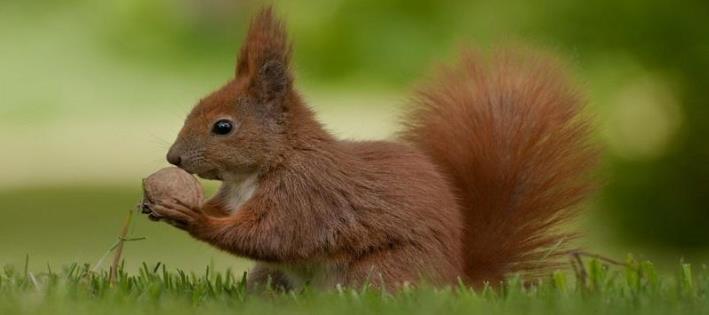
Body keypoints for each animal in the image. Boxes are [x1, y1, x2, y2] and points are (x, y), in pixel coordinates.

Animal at [147, 6, 600, 292]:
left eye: (223, 127)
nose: (173, 159)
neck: (264, 168)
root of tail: (456, 281)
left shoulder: (307, 196)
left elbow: (271, 236)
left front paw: (190, 217)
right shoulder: (237, 195)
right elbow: (230, 216)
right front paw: (163, 205)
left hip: (377, 271)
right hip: (270, 278)